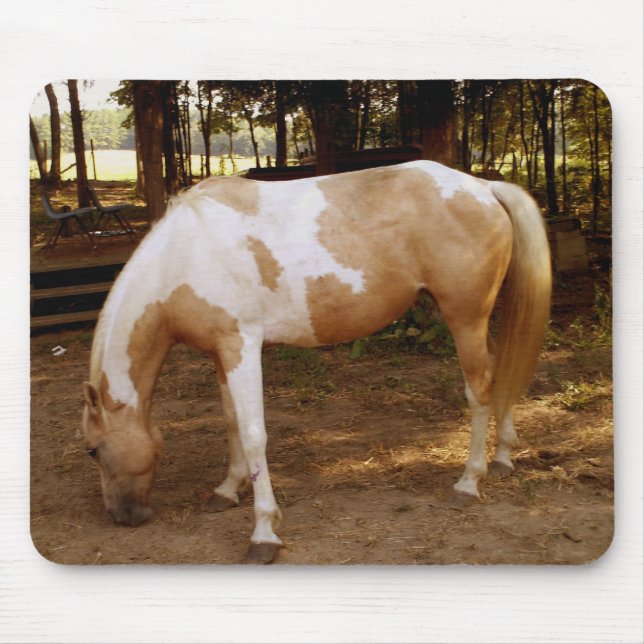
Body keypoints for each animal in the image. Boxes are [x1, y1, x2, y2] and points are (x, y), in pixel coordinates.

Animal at [81, 160, 551, 564]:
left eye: (92, 450)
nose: (123, 517)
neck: (183, 254)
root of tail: (484, 188)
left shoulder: (242, 347)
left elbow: (253, 435)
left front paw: (264, 533)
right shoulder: (222, 353)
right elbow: (232, 424)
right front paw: (228, 490)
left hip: (465, 318)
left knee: (479, 391)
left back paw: (469, 482)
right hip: (475, 321)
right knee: (499, 375)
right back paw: (503, 458)